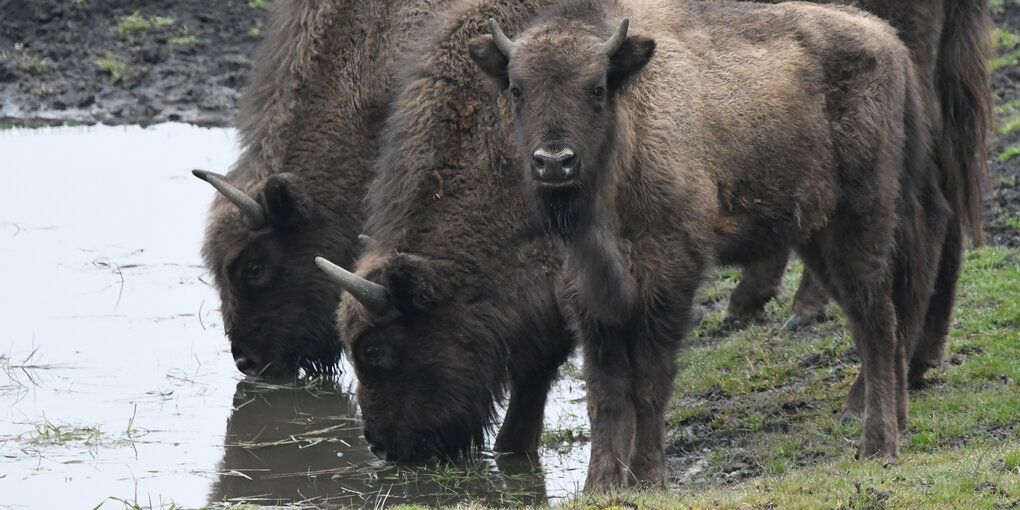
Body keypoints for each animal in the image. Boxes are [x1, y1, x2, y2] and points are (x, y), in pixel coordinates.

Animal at [316, 0, 987, 469]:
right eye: (516, 90)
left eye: (376, 350)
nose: (383, 445)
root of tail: (886, 42)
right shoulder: (584, 289)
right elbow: (597, 380)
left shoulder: (642, 275)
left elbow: (613, 374)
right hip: (827, 221)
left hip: (866, 210)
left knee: (893, 291)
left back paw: (874, 425)